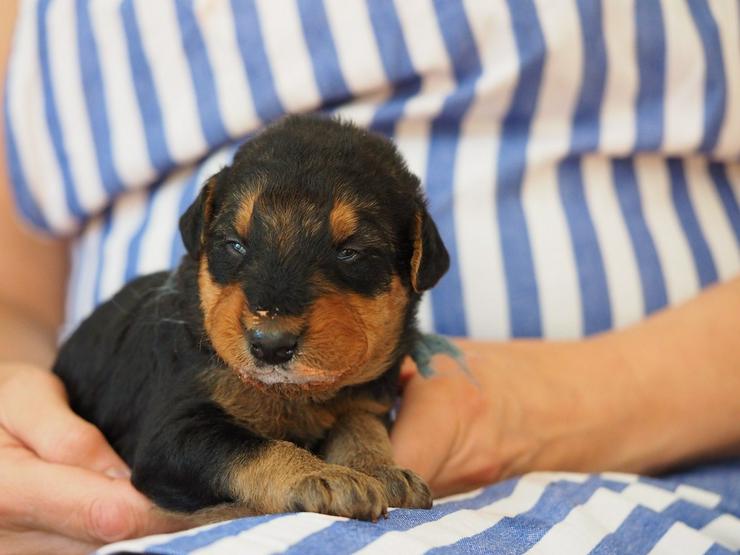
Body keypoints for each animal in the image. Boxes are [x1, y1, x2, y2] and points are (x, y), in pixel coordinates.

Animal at [53, 115, 450, 524]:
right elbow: (251, 448)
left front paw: (380, 469)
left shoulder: (367, 399)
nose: (270, 344)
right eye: (235, 244)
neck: (294, 394)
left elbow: (360, 424)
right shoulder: (171, 434)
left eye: (350, 252)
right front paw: (324, 477)